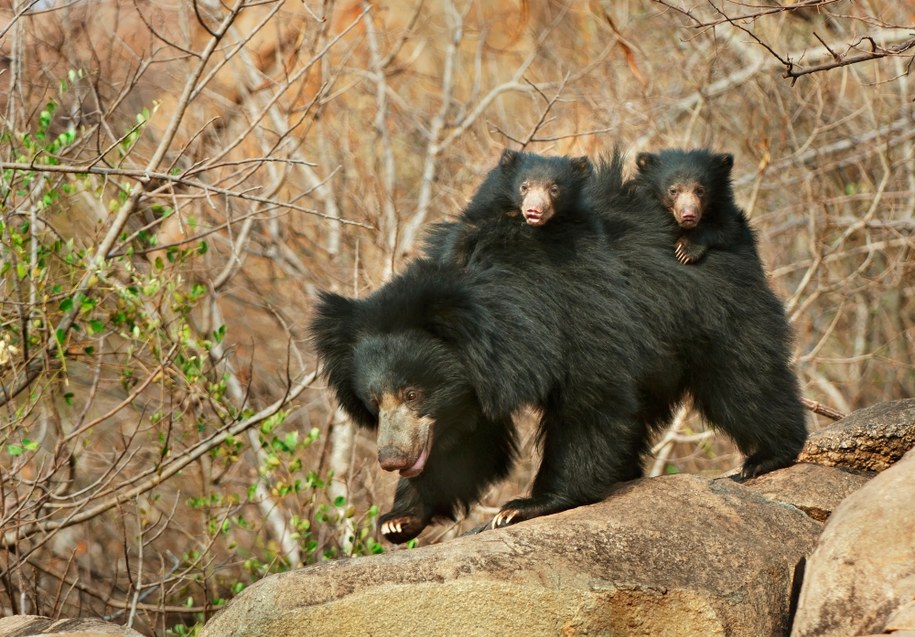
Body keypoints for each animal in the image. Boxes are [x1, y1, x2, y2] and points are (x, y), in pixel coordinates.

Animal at [310, 149, 808, 540]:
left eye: (413, 393)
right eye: (374, 402)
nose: (392, 459)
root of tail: (735, 227)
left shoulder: (579, 319)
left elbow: (589, 404)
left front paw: (523, 506)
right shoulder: (470, 386)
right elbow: (467, 443)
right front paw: (400, 519)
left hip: (712, 310)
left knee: (742, 378)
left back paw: (765, 457)